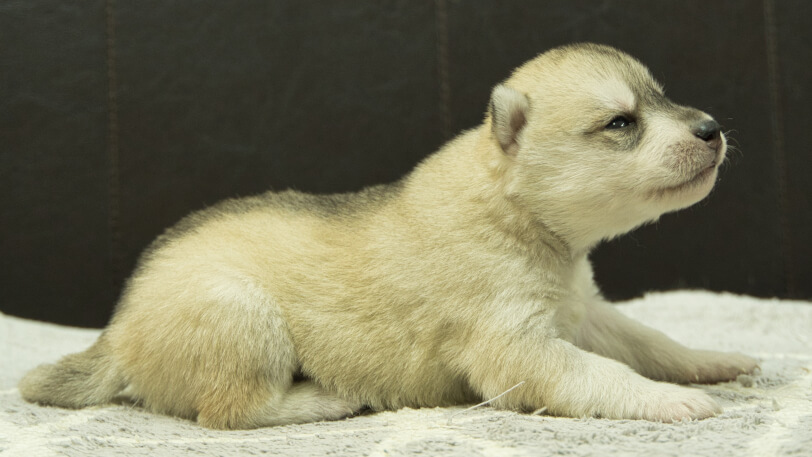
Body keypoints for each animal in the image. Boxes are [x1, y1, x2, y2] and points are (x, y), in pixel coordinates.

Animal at [19, 42, 760, 428]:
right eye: (620, 123)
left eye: (661, 97)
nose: (712, 129)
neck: (516, 210)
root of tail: (117, 331)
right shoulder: (519, 349)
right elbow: (602, 373)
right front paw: (669, 400)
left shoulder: (587, 313)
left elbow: (649, 341)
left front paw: (711, 360)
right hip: (241, 316)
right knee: (233, 410)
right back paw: (327, 397)